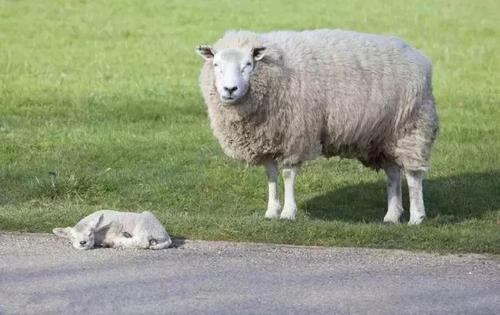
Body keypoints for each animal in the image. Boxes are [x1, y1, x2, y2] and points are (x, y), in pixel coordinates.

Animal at [195, 29, 438, 225]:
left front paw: (288, 213)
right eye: (216, 65)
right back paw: (392, 216)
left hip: (411, 127)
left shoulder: (295, 135)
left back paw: (417, 218)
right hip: (384, 137)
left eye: (248, 64)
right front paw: (272, 211)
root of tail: (419, 57)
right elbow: (271, 175)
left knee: (413, 176)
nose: (230, 89)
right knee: (393, 175)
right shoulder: (269, 138)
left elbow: (288, 175)